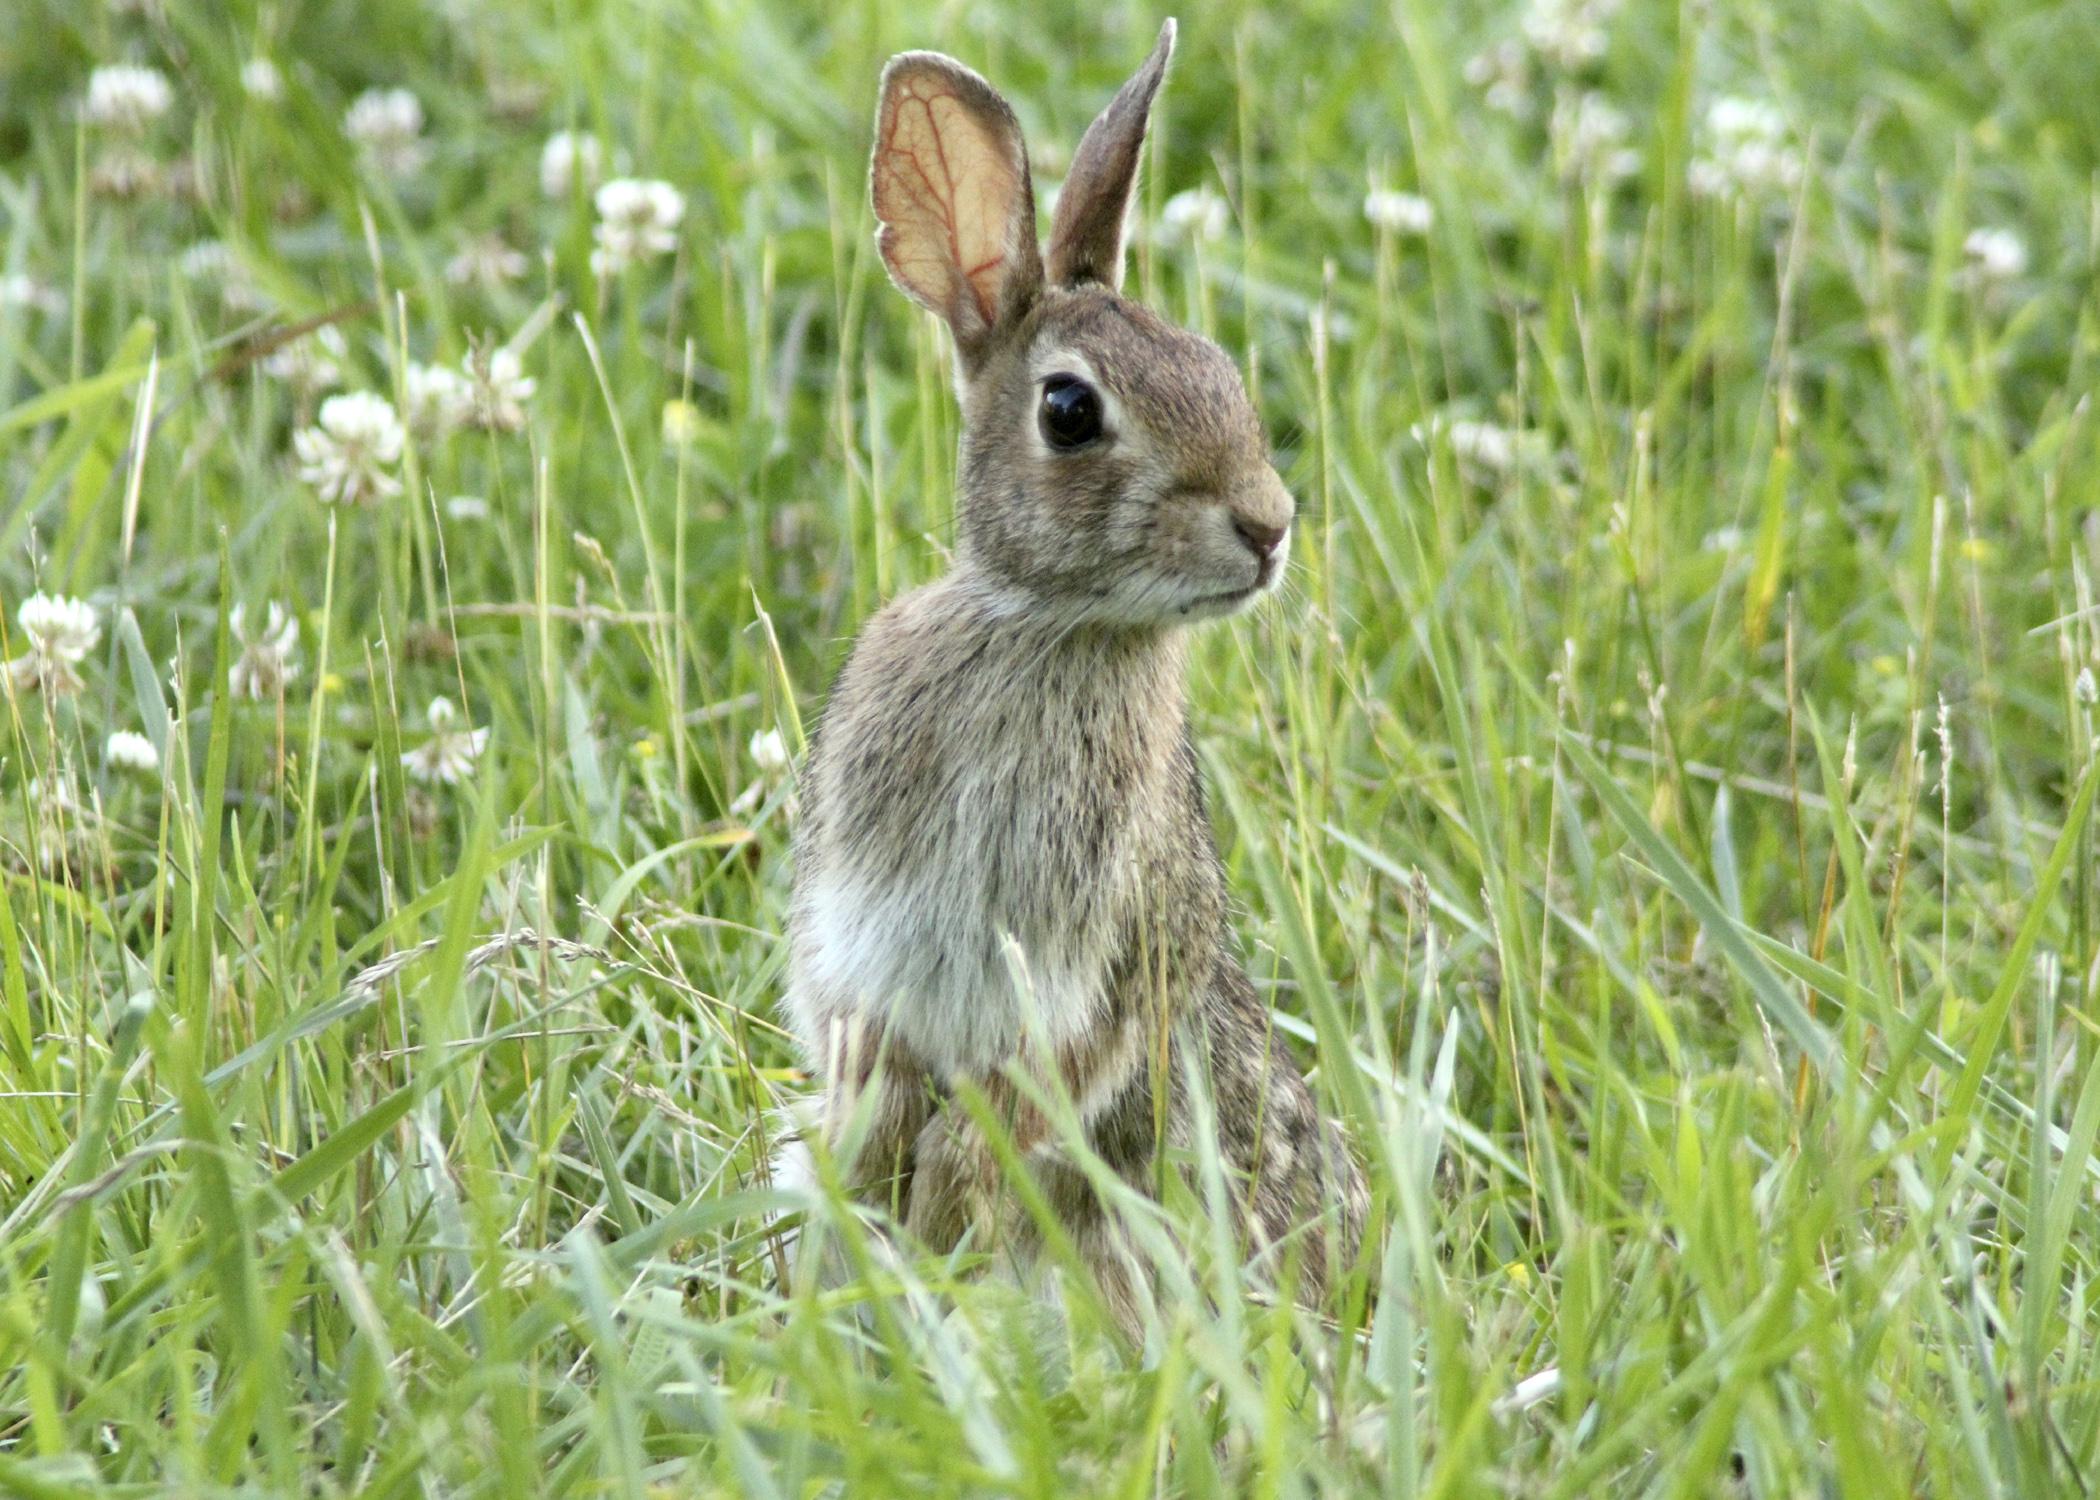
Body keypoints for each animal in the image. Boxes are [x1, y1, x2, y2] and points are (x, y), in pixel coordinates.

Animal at [781, 20, 1369, 1336]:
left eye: (1221, 370)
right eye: (1067, 409)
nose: (1269, 525)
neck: (1054, 627)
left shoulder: (1102, 967)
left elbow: (1037, 1093)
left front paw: (946, 1195)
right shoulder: (865, 943)